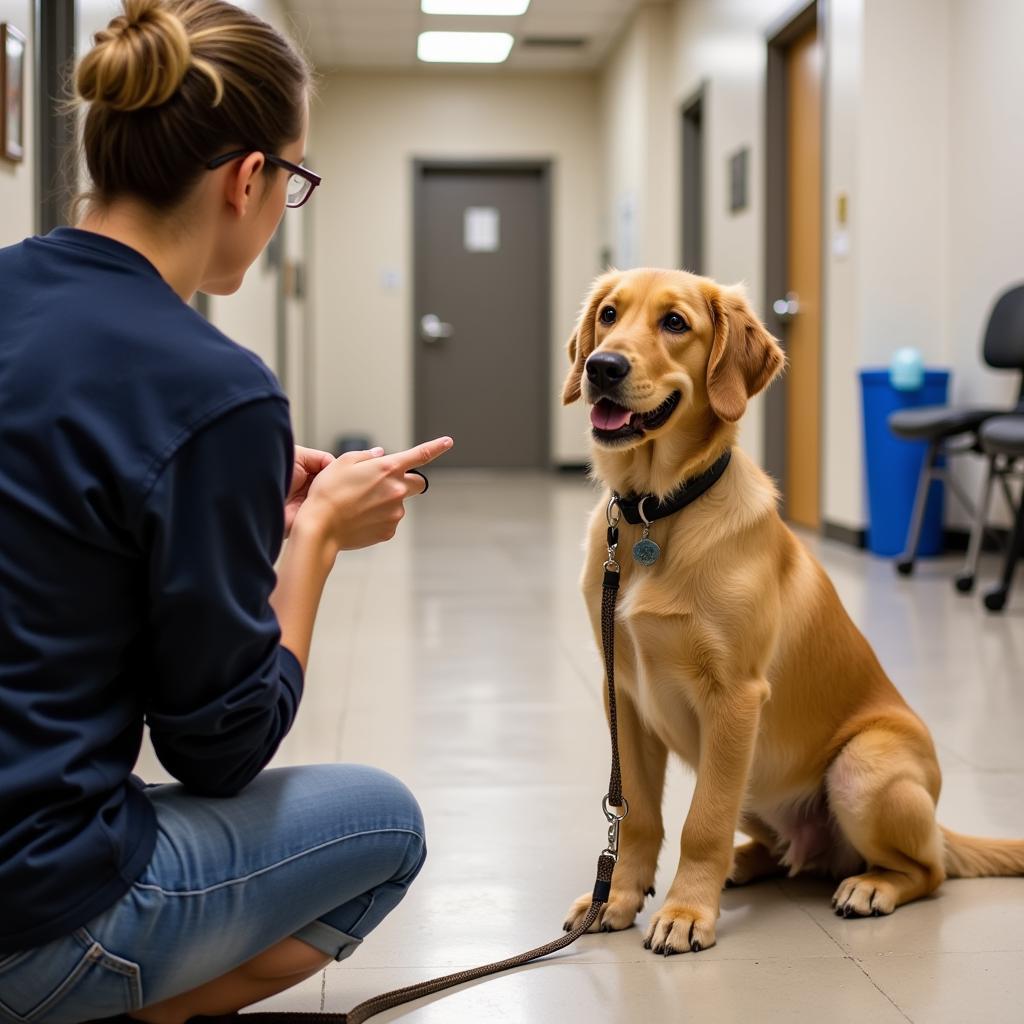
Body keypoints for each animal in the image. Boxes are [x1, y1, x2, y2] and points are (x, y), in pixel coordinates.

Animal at [561, 268, 1024, 954]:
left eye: (675, 323)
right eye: (610, 315)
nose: (601, 366)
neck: (656, 512)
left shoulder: (735, 698)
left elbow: (702, 822)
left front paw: (685, 913)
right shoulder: (624, 694)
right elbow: (640, 816)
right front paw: (615, 900)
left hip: (857, 769)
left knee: (928, 869)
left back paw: (870, 886)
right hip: (755, 773)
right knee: (787, 853)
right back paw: (745, 864)